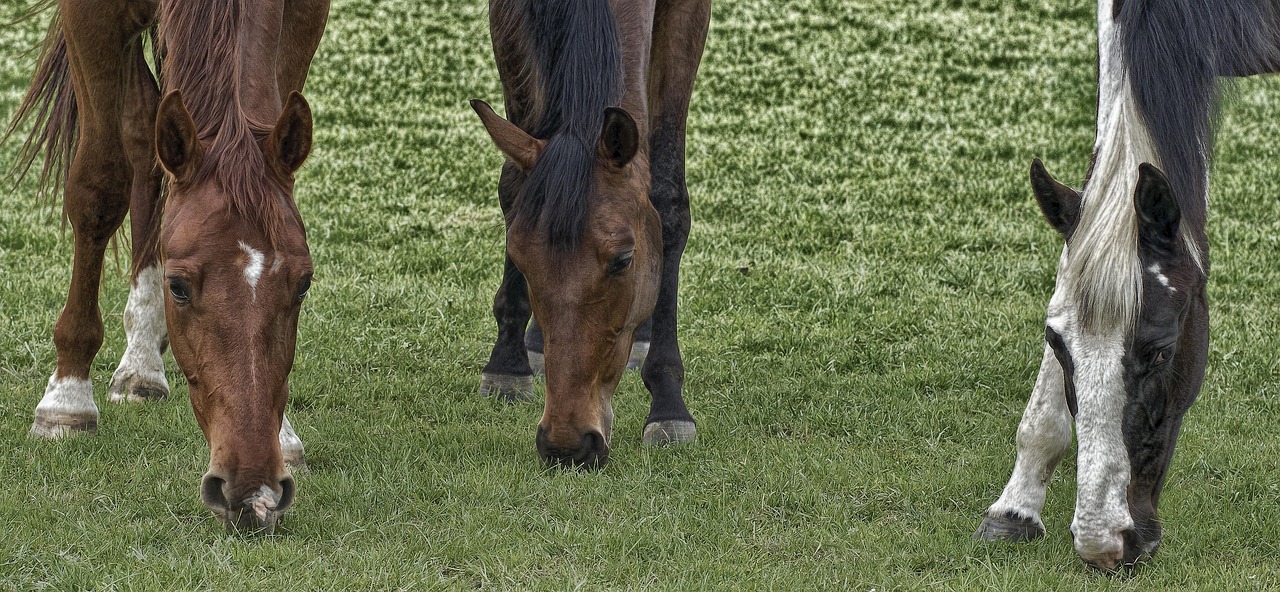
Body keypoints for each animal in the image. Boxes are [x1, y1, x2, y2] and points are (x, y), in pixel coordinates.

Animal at [9, 0, 327, 533]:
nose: (252, 492)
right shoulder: (88, 16)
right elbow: (99, 185)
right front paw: (66, 400)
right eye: (177, 287)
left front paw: (283, 435)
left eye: (303, 284)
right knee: (140, 135)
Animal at [473, 0, 711, 468]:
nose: (568, 444)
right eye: (520, 258)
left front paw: (669, 403)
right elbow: (514, 184)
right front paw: (507, 362)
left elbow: (667, 200)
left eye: (623, 259)